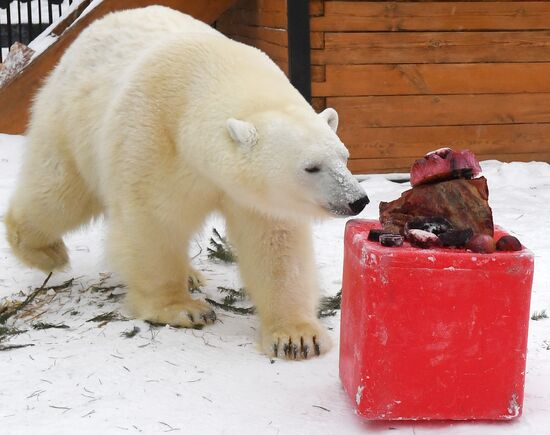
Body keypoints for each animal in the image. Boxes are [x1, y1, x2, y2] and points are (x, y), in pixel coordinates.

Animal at [5, 5, 370, 362]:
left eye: (344, 156)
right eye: (311, 167)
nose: (357, 200)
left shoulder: (256, 194)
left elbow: (275, 243)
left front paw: (297, 336)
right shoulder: (153, 139)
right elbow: (153, 223)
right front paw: (183, 309)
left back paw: (191, 273)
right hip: (71, 120)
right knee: (59, 193)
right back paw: (46, 252)